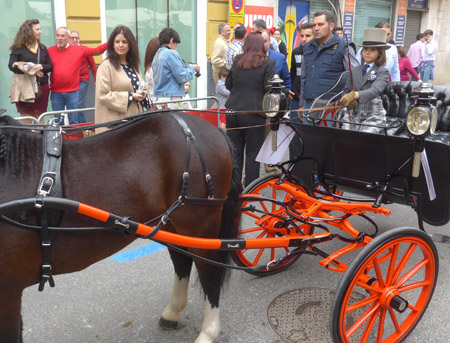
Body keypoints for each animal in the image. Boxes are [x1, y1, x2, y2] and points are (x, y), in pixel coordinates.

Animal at [0, 112, 243, 342]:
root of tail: (211, 128)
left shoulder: (9, 292)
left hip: (200, 224)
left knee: (209, 271)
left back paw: (208, 332)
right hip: (172, 223)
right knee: (182, 259)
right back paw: (172, 313)